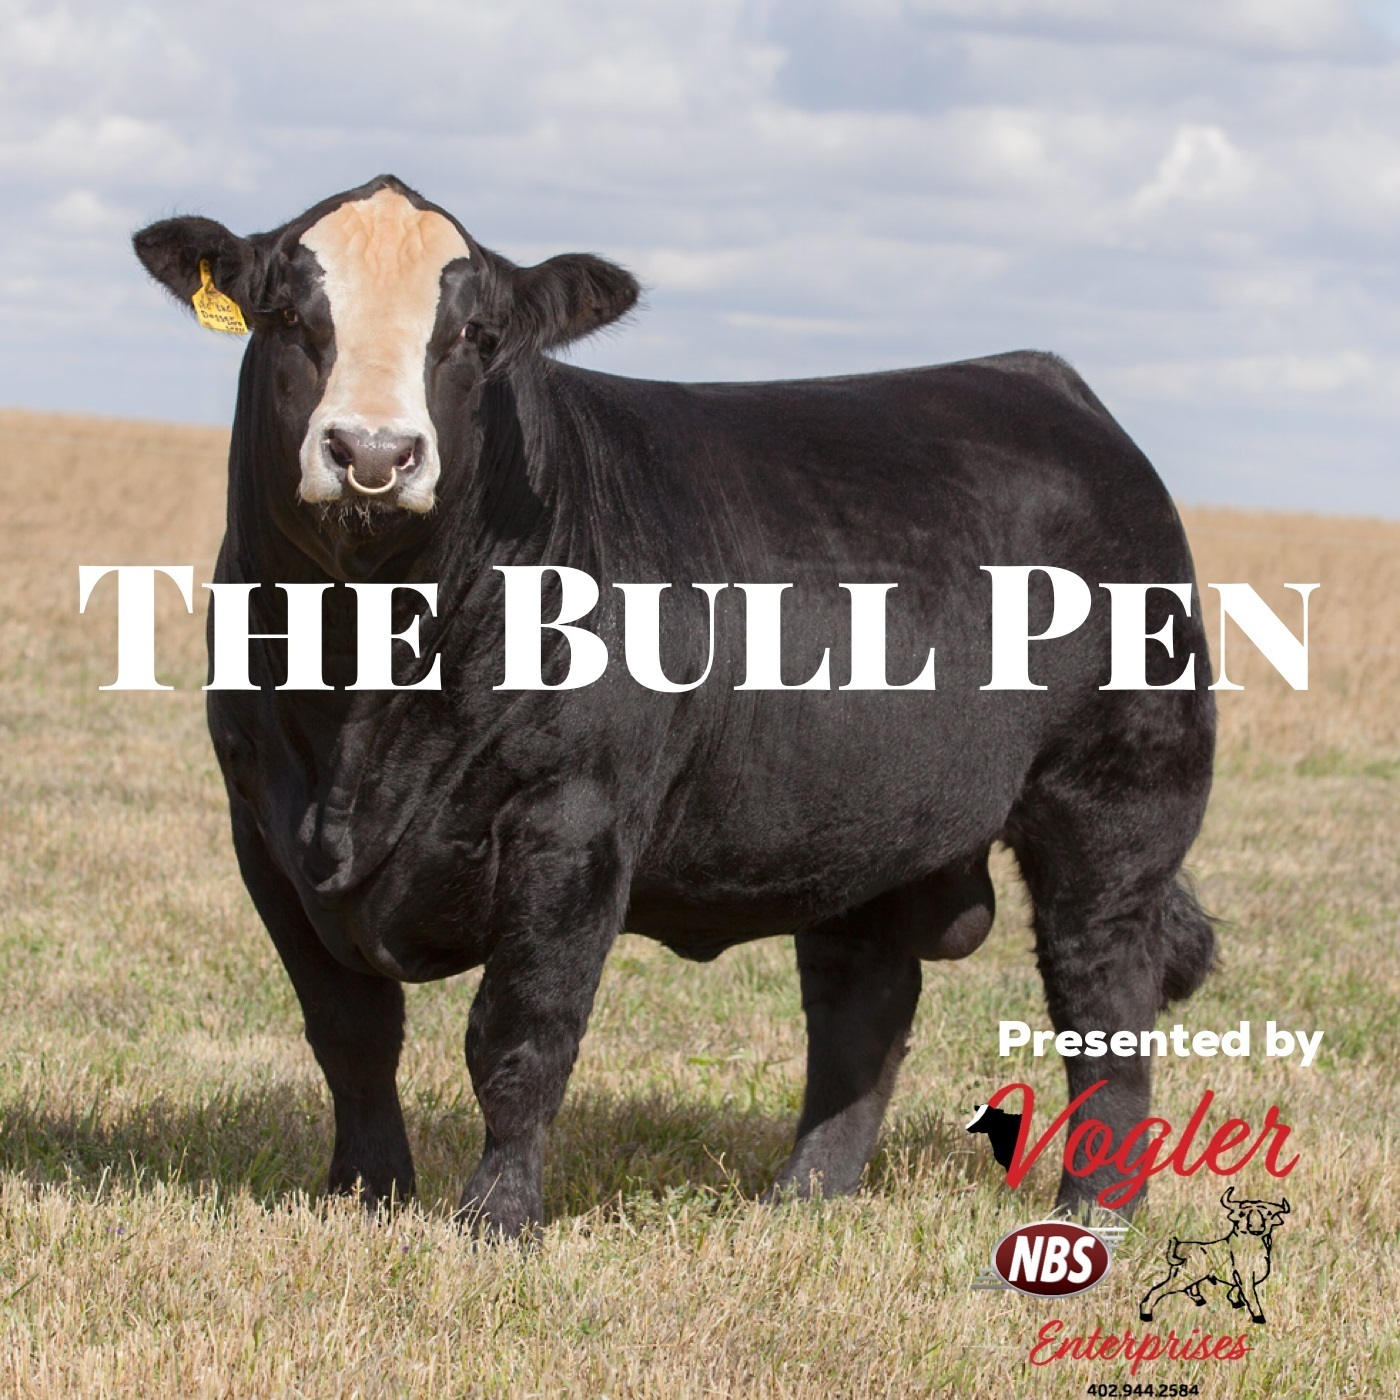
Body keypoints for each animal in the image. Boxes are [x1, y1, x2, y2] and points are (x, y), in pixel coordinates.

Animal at [132, 175, 1216, 1239]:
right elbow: (349, 1030)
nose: (372, 450)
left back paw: (1093, 1212)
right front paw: (366, 1192)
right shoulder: (264, 828)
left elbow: (520, 1036)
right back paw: (803, 1199)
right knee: (863, 1000)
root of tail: (1048, 387)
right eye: (285, 314)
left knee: (1101, 991)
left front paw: (495, 1218)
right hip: (857, 824)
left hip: (1114, 801)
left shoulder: (572, 822)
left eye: (475, 334)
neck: (363, 702)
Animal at [1139, 1189, 1290, 1325]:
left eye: (1268, 1214)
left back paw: (1199, 1299)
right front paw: (1259, 1317)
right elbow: (1250, 1297)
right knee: (1159, 1290)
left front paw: (1236, 1302)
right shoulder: (1244, 1278)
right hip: (1180, 1277)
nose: (1255, 1228)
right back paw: (1146, 1313)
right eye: (1242, 1214)